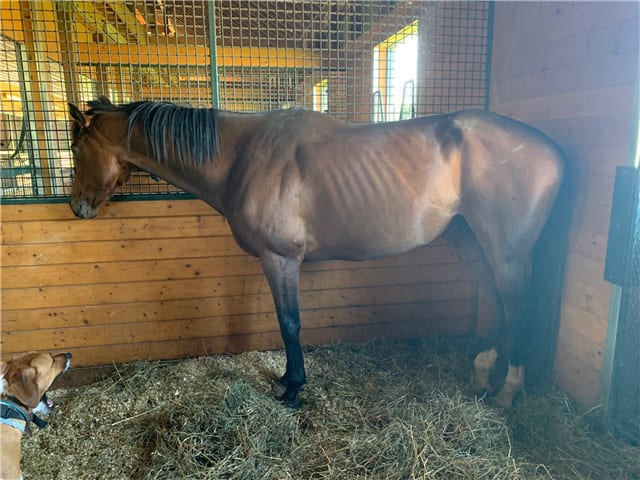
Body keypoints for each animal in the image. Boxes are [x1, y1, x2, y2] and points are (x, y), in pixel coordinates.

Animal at [67, 98, 564, 408]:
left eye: (74, 148)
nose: (76, 207)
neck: (242, 155)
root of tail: (554, 151)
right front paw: (289, 380)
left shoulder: (280, 259)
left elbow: (289, 324)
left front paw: (292, 390)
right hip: (474, 245)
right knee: (502, 305)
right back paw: (482, 373)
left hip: (507, 252)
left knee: (520, 309)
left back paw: (507, 392)